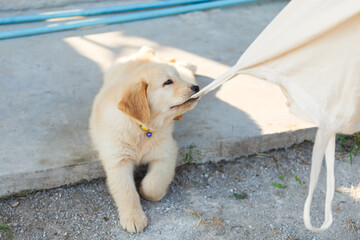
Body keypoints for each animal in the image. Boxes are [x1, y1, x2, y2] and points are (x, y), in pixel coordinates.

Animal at [88, 47, 198, 232]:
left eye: (177, 80)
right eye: (168, 82)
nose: (196, 88)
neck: (142, 127)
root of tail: (146, 53)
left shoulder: (166, 152)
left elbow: (153, 184)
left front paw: (147, 192)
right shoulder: (118, 161)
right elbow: (126, 191)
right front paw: (133, 217)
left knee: (181, 65)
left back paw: (191, 63)